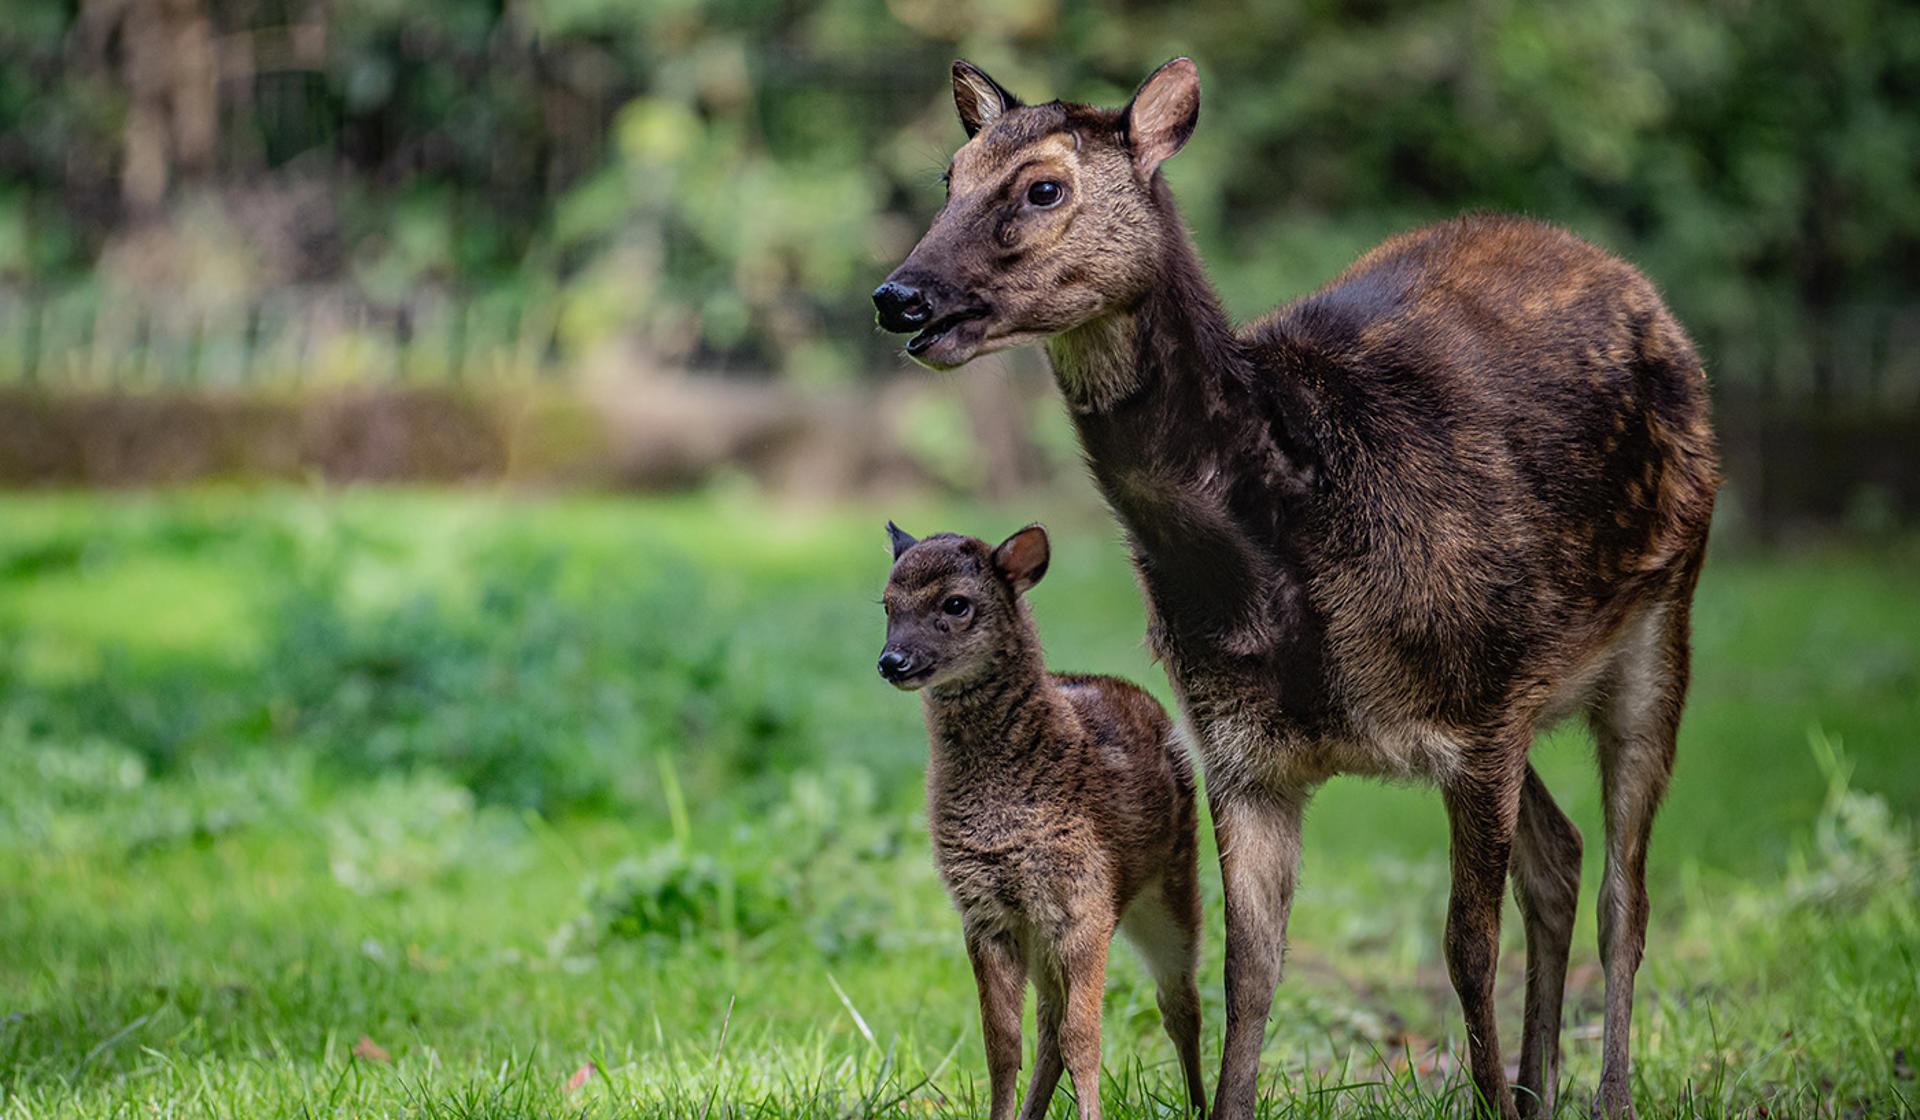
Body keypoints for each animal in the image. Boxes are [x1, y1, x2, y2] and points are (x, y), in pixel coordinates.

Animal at [877, 521, 1208, 1120]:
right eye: (888, 604)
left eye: (955, 603)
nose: (892, 661)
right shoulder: (986, 912)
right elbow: (1002, 1042)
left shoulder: (1086, 901)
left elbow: (1086, 1038)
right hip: (1042, 935)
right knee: (1050, 1023)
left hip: (1174, 881)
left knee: (1180, 1002)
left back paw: (1199, 1104)